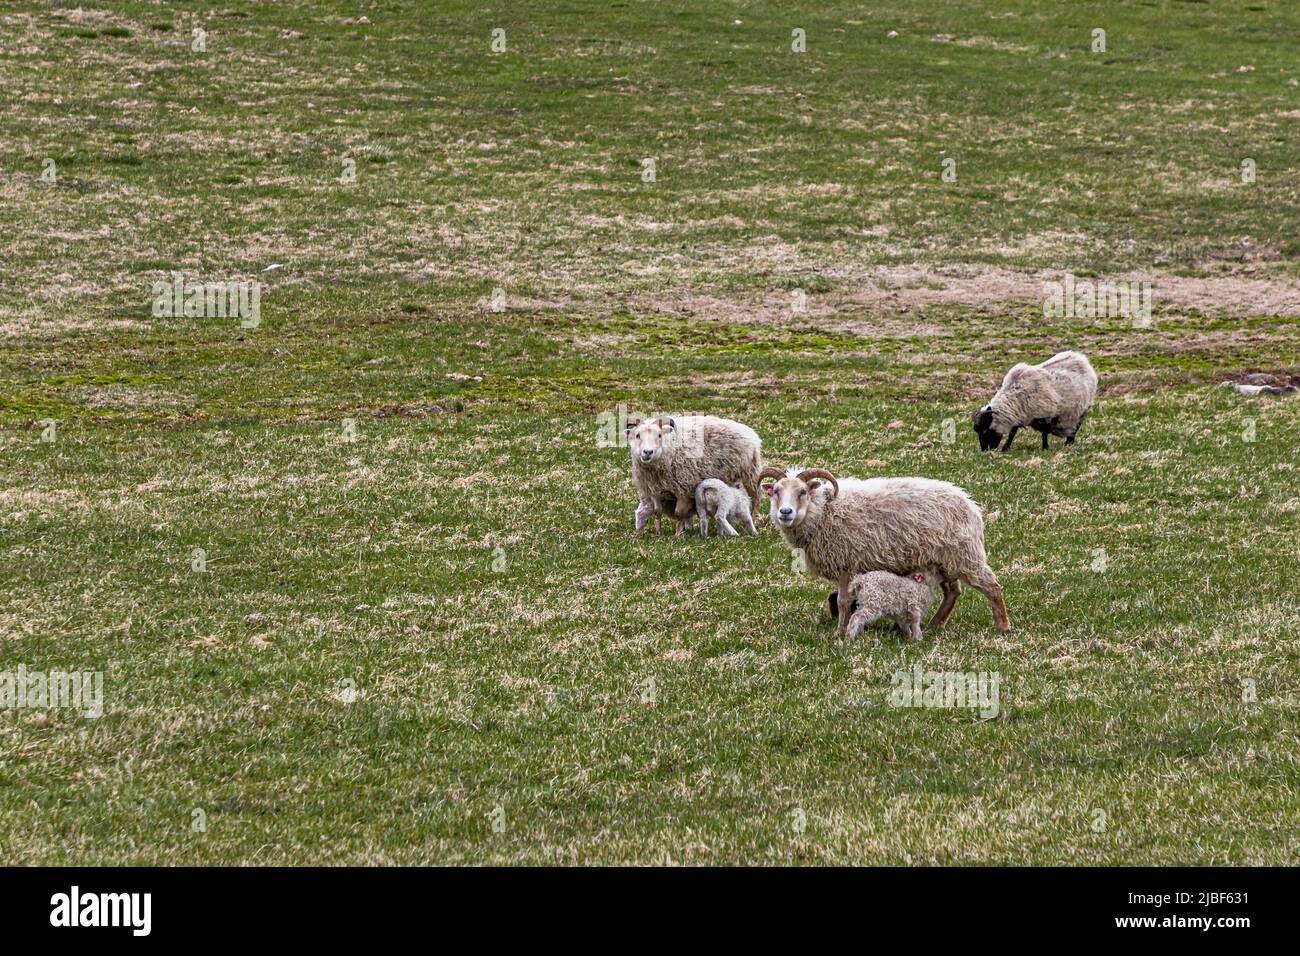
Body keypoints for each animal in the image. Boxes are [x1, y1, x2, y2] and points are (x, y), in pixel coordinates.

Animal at [627, 415, 762, 535]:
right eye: (637, 435)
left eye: (659, 435)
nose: (647, 452)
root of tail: (750, 432)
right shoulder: (654, 490)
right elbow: (657, 512)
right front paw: (658, 533)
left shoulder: (683, 488)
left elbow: (678, 513)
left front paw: (678, 535)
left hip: (750, 474)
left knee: (756, 498)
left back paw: (752, 521)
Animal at [758, 466, 1010, 634]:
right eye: (776, 491)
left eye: (802, 491)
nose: (785, 512)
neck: (822, 511)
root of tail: (971, 505)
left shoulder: (846, 565)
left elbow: (842, 601)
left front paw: (839, 631)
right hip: (943, 560)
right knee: (953, 592)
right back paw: (934, 625)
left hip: (965, 556)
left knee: (991, 586)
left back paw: (1003, 626)